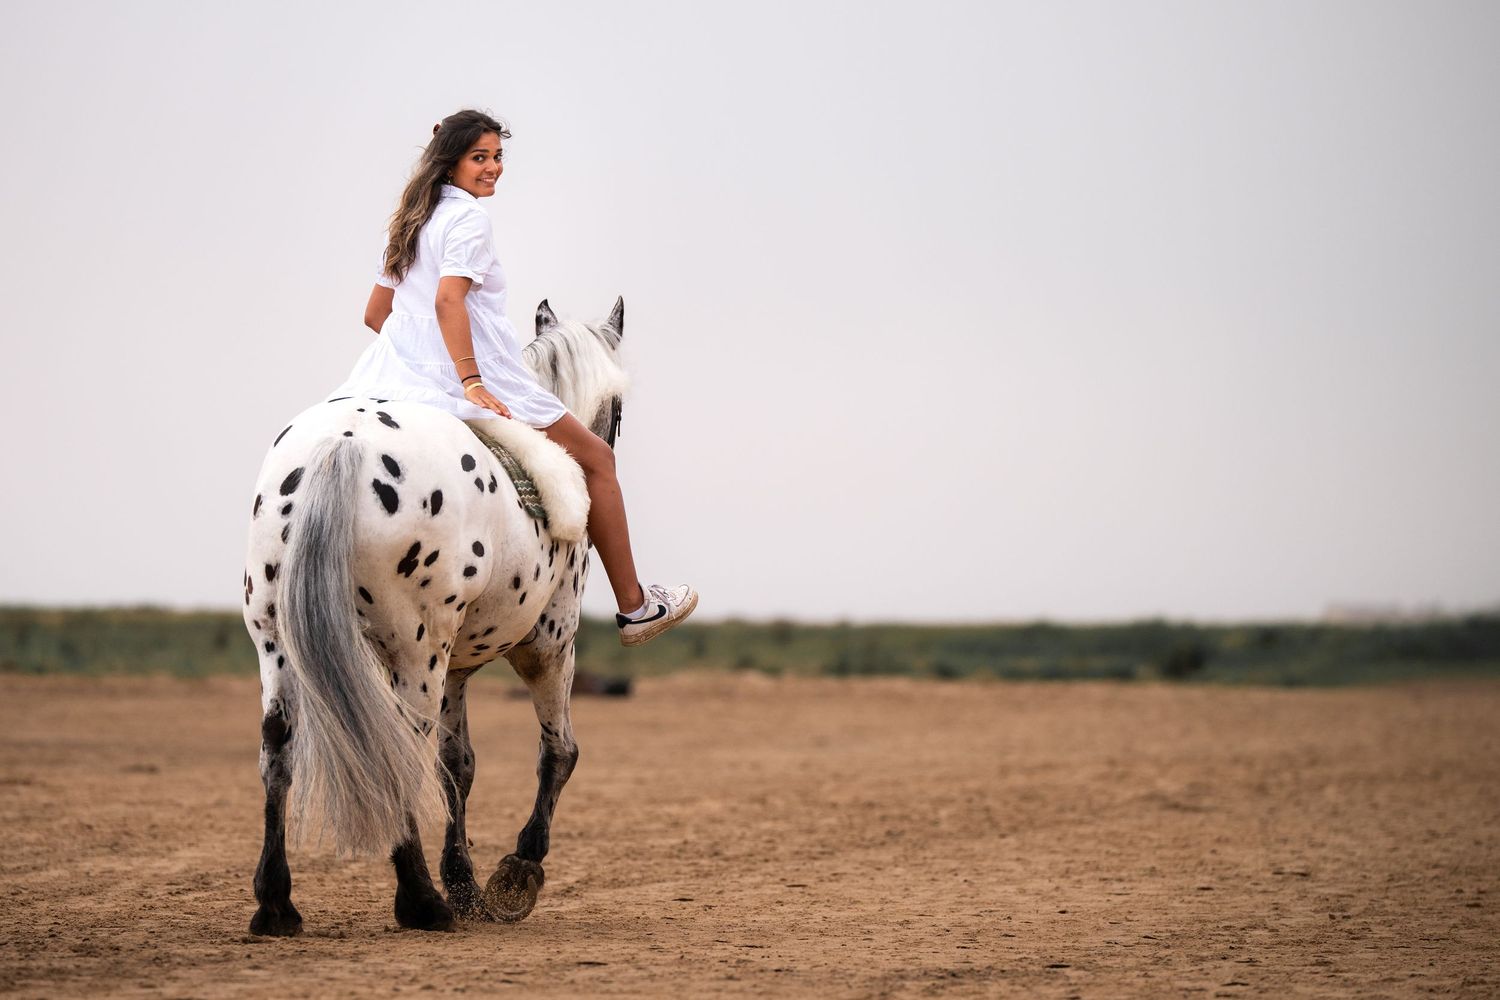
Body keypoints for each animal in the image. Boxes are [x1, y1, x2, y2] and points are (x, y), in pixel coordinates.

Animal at [241, 297, 627, 935]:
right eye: (618, 408)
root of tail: (343, 446)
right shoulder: (551, 644)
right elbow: (558, 754)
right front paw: (517, 871)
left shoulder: (458, 669)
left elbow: (457, 765)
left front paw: (466, 881)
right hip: (416, 652)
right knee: (402, 745)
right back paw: (419, 899)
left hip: (276, 641)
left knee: (278, 741)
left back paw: (276, 904)